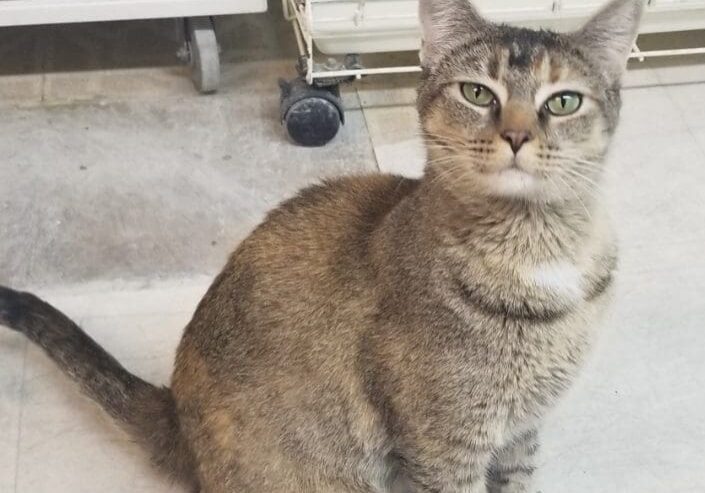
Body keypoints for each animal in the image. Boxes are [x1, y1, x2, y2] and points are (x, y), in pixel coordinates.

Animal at [0, 0, 644, 490]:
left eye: (563, 101)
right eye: (477, 94)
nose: (515, 135)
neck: (534, 250)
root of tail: (176, 417)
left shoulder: (520, 431)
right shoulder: (442, 445)